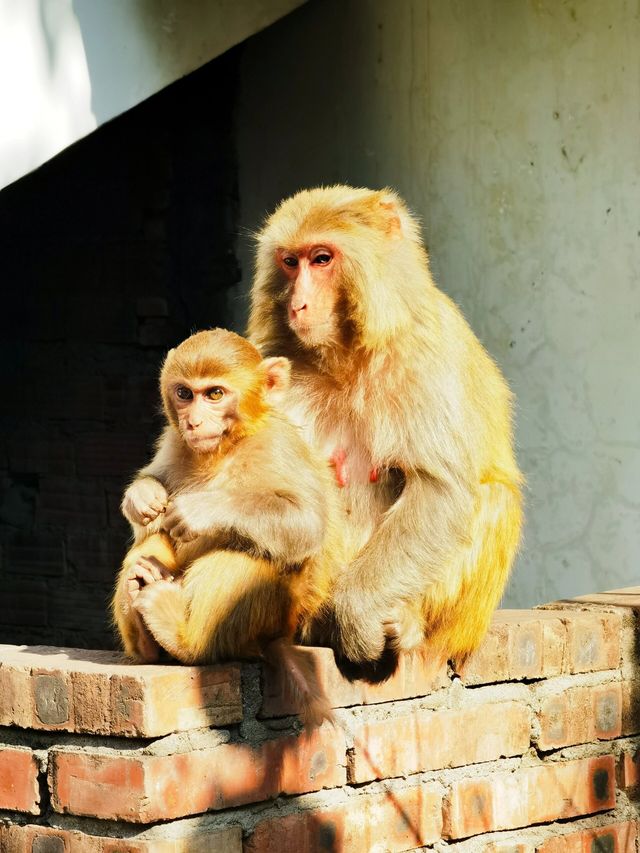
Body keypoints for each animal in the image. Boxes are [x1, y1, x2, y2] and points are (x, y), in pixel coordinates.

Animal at [112, 330, 342, 724]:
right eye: (184, 393)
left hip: (275, 616)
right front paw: (143, 496)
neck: (227, 447)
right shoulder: (173, 441)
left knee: (248, 554)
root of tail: (280, 637)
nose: (193, 422)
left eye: (215, 394)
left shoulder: (277, 446)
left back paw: (183, 639)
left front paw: (200, 510)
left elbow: (307, 525)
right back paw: (143, 622)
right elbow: (150, 519)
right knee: (151, 546)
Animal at [248, 185, 524, 672]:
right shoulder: (271, 357)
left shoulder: (424, 351)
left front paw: (355, 614)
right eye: (290, 261)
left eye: (322, 259)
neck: (347, 354)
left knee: (494, 497)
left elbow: (439, 489)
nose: (298, 303)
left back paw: (404, 625)